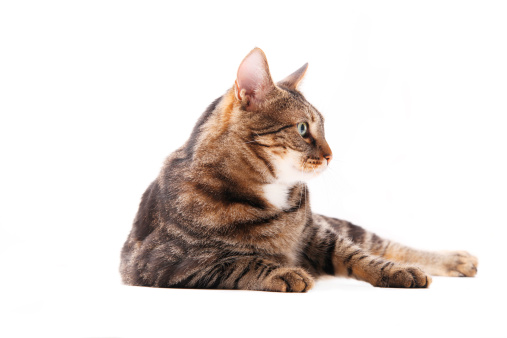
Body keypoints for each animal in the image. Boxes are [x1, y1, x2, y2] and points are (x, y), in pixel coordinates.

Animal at [121, 48, 478, 294]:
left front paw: (393, 270)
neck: (270, 191)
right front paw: (283, 271)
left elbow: (360, 256)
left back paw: (455, 259)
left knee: (382, 243)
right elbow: (236, 261)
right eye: (303, 128)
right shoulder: (161, 264)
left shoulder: (318, 233)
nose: (331, 155)